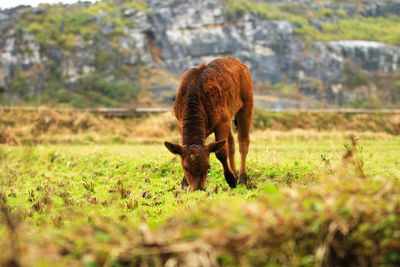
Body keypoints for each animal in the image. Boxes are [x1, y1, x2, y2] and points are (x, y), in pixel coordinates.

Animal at [165, 57, 253, 191]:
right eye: (185, 167)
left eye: (208, 166)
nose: (198, 188)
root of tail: (240, 64)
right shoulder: (180, 123)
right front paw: (184, 183)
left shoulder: (222, 121)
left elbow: (221, 152)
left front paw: (231, 180)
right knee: (231, 142)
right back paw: (235, 172)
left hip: (247, 104)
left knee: (243, 141)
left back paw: (242, 178)